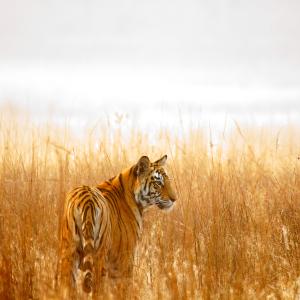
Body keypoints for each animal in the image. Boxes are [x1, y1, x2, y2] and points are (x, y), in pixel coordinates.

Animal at [56, 156, 176, 294]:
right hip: (99, 256)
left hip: (68, 252)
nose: (174, 199)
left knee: (66, 287)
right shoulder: (123, 259)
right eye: (158, 184)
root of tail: (87, 198)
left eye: (168, 181)